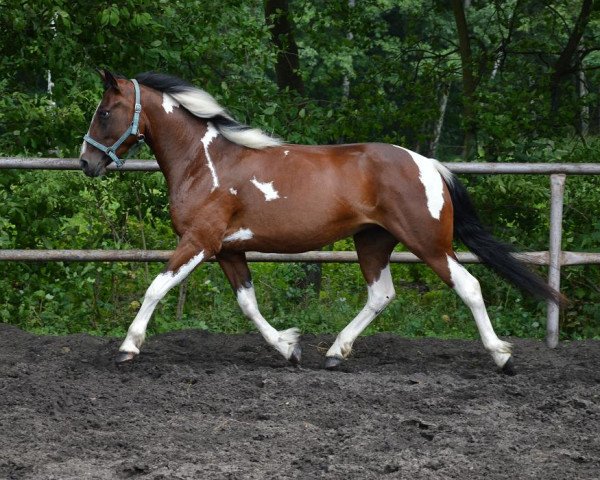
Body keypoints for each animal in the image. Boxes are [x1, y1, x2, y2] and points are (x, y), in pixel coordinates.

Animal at [79, 69, 564, 374]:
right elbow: (248, 305)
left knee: (469, 286)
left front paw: (127, 348)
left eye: (104, 112)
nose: (86, 162)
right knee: (381, 295)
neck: (204, 162)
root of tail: (428, 163)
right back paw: (334, 352)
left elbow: (156, 288)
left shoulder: (200, 241)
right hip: (373, 242)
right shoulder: (230, 249)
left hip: (428, 244)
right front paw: (288, 348)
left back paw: (502, 358)